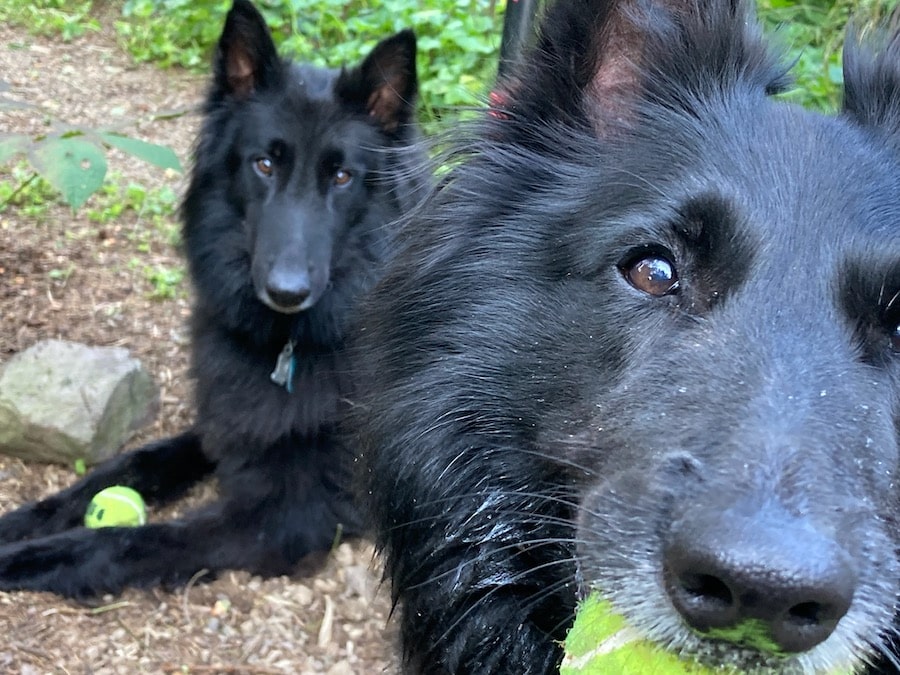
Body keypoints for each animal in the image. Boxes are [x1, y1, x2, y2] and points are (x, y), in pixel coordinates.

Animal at [0, 0, 424, 596]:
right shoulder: (225, 419)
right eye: (264, 164)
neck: (289, 346)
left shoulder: (286, 517)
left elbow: (129, 539)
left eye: (341, 176)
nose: (287, 291)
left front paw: (27, 555)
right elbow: (132, 462)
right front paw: (24, 520)